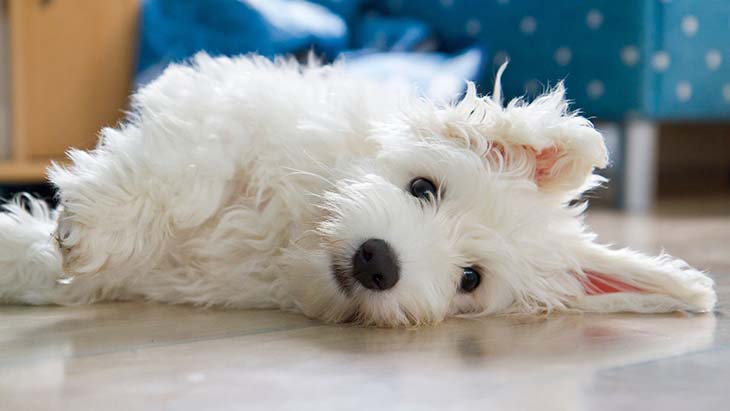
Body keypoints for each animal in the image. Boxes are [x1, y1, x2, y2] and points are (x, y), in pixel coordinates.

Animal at [0, 54, 716, 326]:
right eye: (422, 187)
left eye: (470, 279)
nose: (378, 262)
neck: (289, 237)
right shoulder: (224, 104)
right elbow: (192, 168)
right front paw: (93, 227)